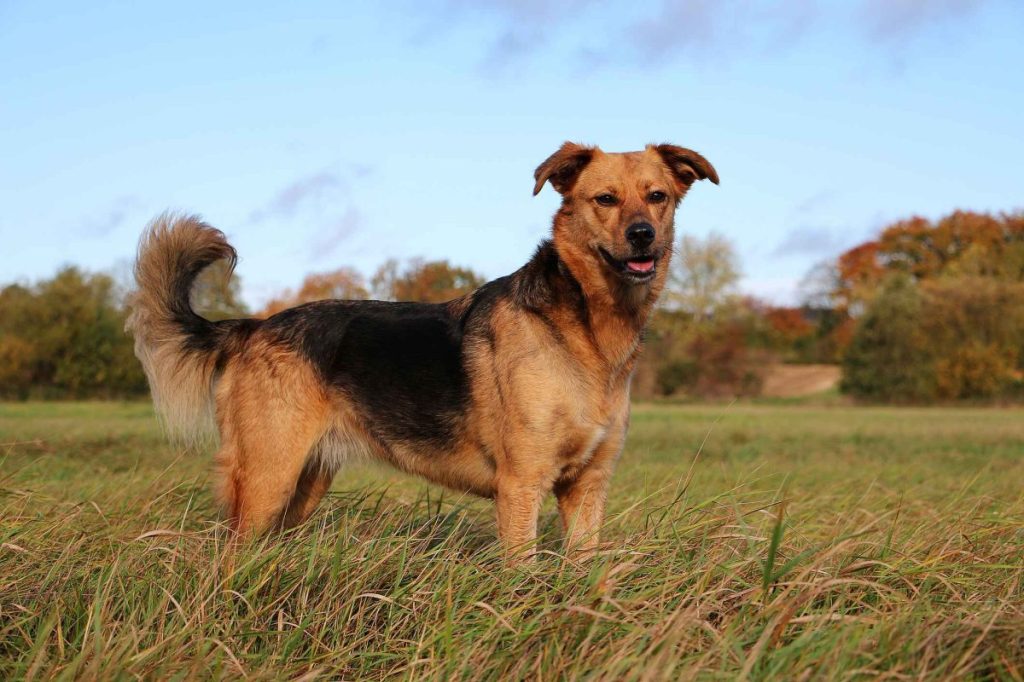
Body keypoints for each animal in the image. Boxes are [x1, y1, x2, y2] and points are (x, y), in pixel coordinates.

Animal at [128, 140, 716, 557]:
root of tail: (252, 328)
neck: (587, 330)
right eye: (605, 199)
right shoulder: (522, 486)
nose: (642, 235)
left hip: (304, 484)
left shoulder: (587, 489)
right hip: (265, 480)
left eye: (658, 197)